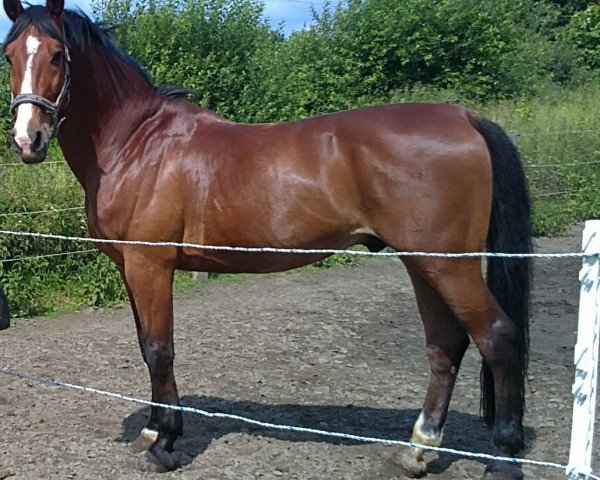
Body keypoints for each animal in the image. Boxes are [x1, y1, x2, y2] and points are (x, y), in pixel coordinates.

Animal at [2, 1, 532, 478]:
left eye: (57, 54)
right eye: (8, 55)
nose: (28, 139)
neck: (137, 143)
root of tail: (464, 117)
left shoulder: (150, 266)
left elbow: (158, 348)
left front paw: (165, 444)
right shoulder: (130, 267)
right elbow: (144, 344)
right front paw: (154, 429)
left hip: (449, 264)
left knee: (498, 339)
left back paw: (502, 462)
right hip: (422, 261)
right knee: (445, 345)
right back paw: (416, 452)